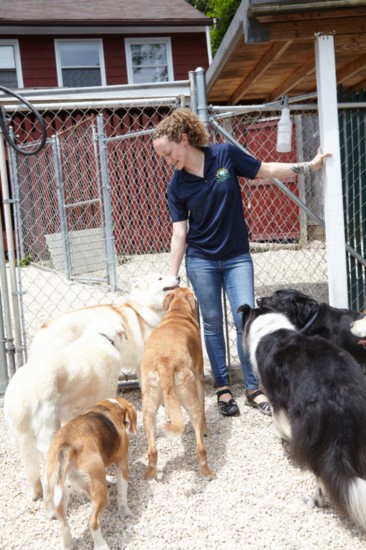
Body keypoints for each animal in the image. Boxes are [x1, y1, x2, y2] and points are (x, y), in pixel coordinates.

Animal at [45, 398, 137, 550]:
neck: (111, 407)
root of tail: (66, 446)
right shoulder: (122, 464)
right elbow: (122, 493)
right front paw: (125, 512)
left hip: (59, 494)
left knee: (64, 525)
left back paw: (68, 545)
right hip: (100, 494)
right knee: (93, 522)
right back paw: (101, 545)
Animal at [140, 288, 214, 484]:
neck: (177, 313)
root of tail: (165, 362)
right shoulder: (199, 378)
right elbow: (204, 411)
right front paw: (206, 430)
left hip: (147, 410)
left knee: (152, 450)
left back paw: (150, 475)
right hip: (191, 402)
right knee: (200, 448)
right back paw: (207, 472)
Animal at [240, 304, 366, 532]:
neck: (269, 325)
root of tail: (339, 395)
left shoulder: (277, 399)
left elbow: (279, 424)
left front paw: (285, 443)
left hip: (316, 438)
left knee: (323, 476)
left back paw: (314, 501)